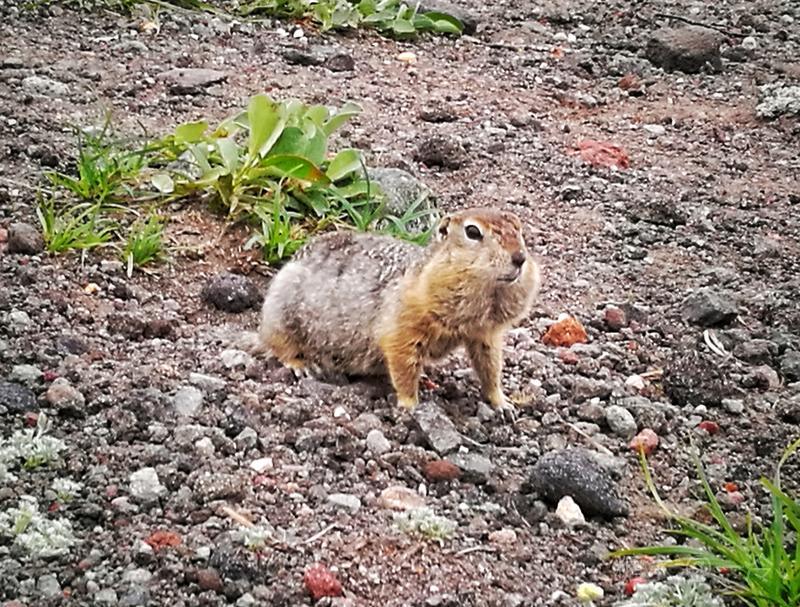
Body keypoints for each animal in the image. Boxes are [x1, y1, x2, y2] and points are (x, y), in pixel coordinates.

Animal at [253, 207, 540, 412]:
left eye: (519, 228)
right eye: (473, 232)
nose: (520, 258)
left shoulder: (485, 335)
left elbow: (490, 366)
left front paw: (503, 403)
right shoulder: (405, 326)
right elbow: (404, 365)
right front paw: (410, 406)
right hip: (280, 313)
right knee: (277, 344)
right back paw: (300, 364)